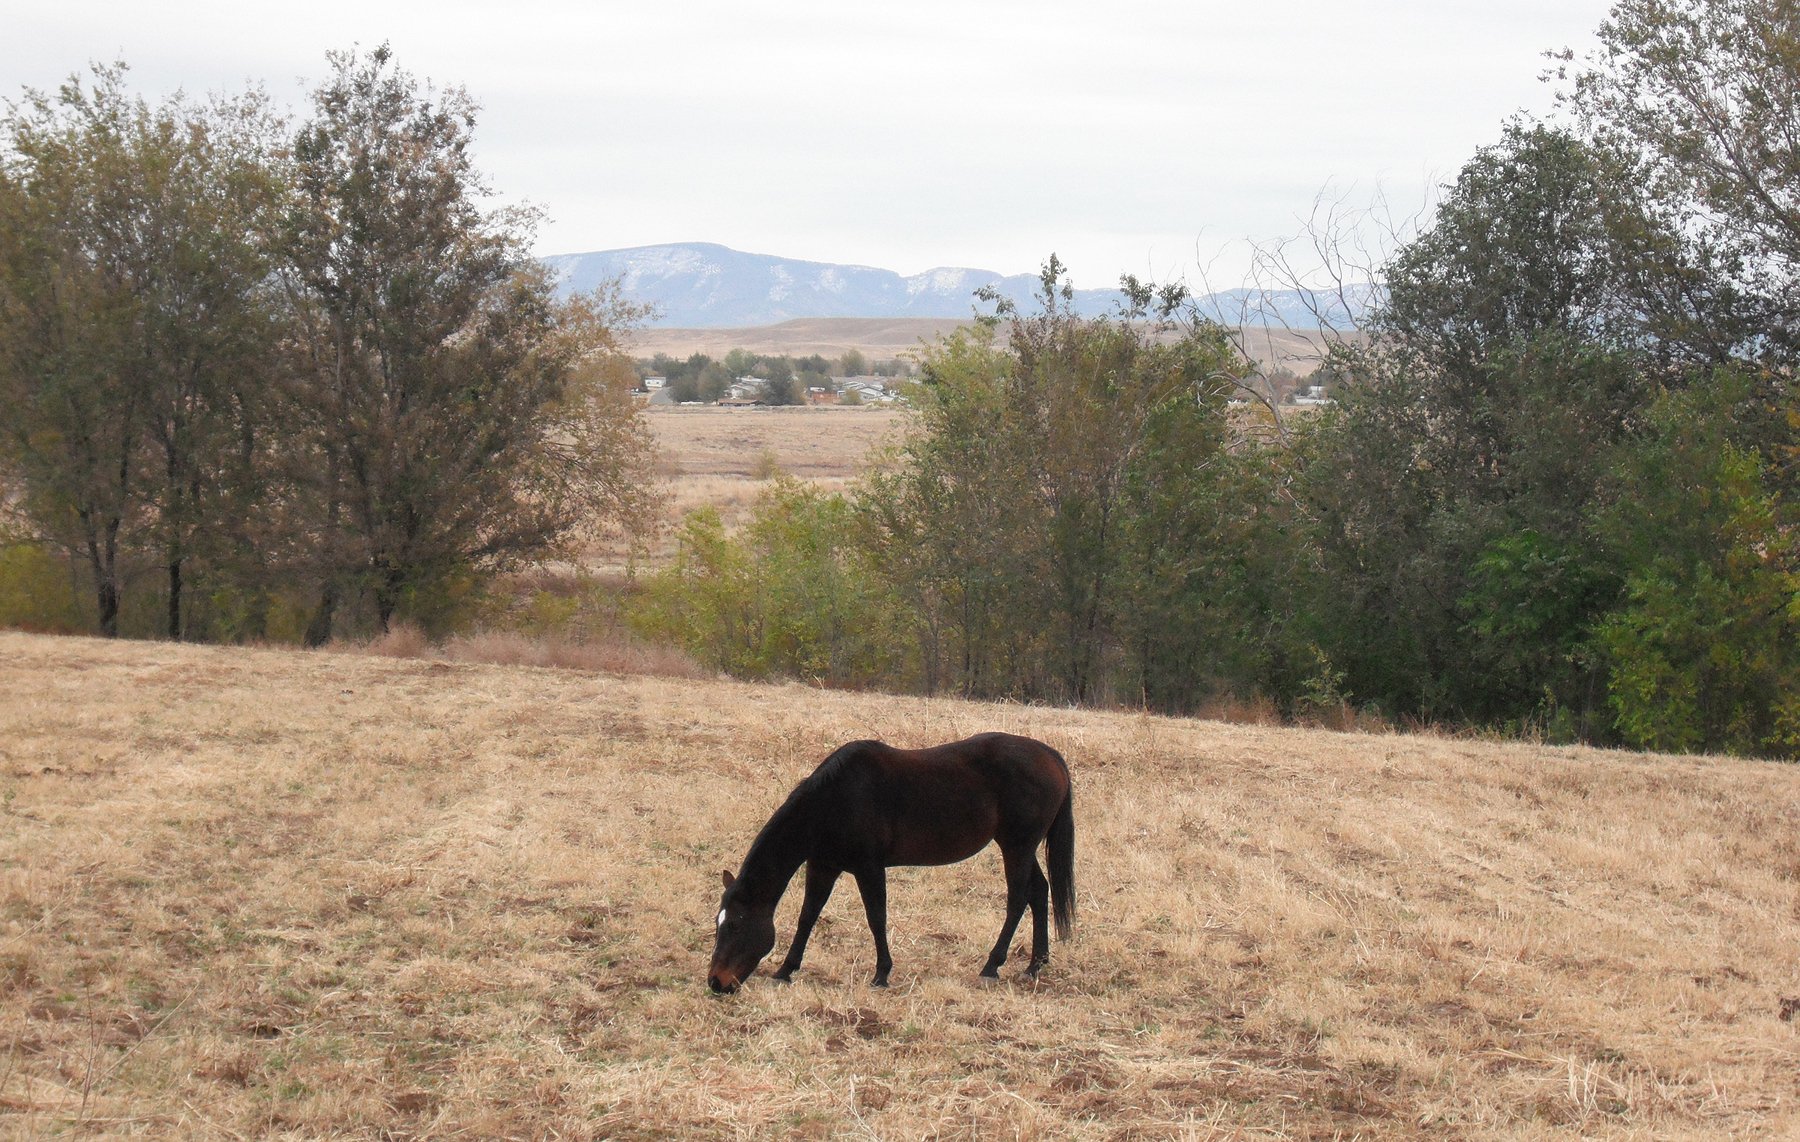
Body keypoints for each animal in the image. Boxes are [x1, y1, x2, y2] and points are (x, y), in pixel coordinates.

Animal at [707, 732, 1075, 993]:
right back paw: (1035, 964)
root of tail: (1050, 756)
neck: (832, 802)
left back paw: (991, 966)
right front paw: (785, 970)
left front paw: (881, 974)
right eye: (718, 922)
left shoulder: (869, 868)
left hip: (1017, 846)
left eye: (736, 924)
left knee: (1017, 899)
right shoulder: (823, 866)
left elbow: (876, 918)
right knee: (1039, 891)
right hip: (1019, 847)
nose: (716, 982)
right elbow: (807, 917)